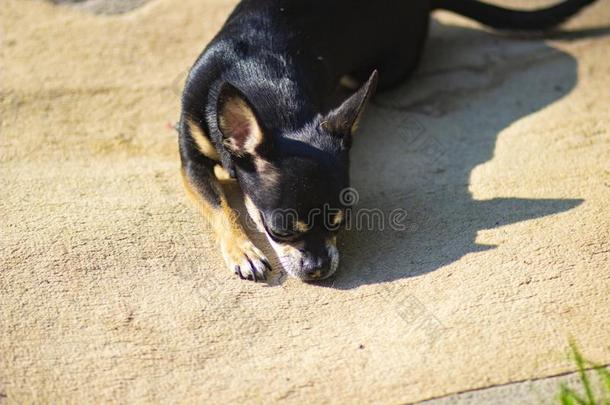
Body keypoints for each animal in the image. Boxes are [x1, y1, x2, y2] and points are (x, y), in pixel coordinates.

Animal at [177, 0, 592, 280]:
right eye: (279, 230)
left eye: (339, 223)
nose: (318, 266)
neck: (260, 78)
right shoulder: (190, 163)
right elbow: (221, 207)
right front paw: (243, 250)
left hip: (389, 68)